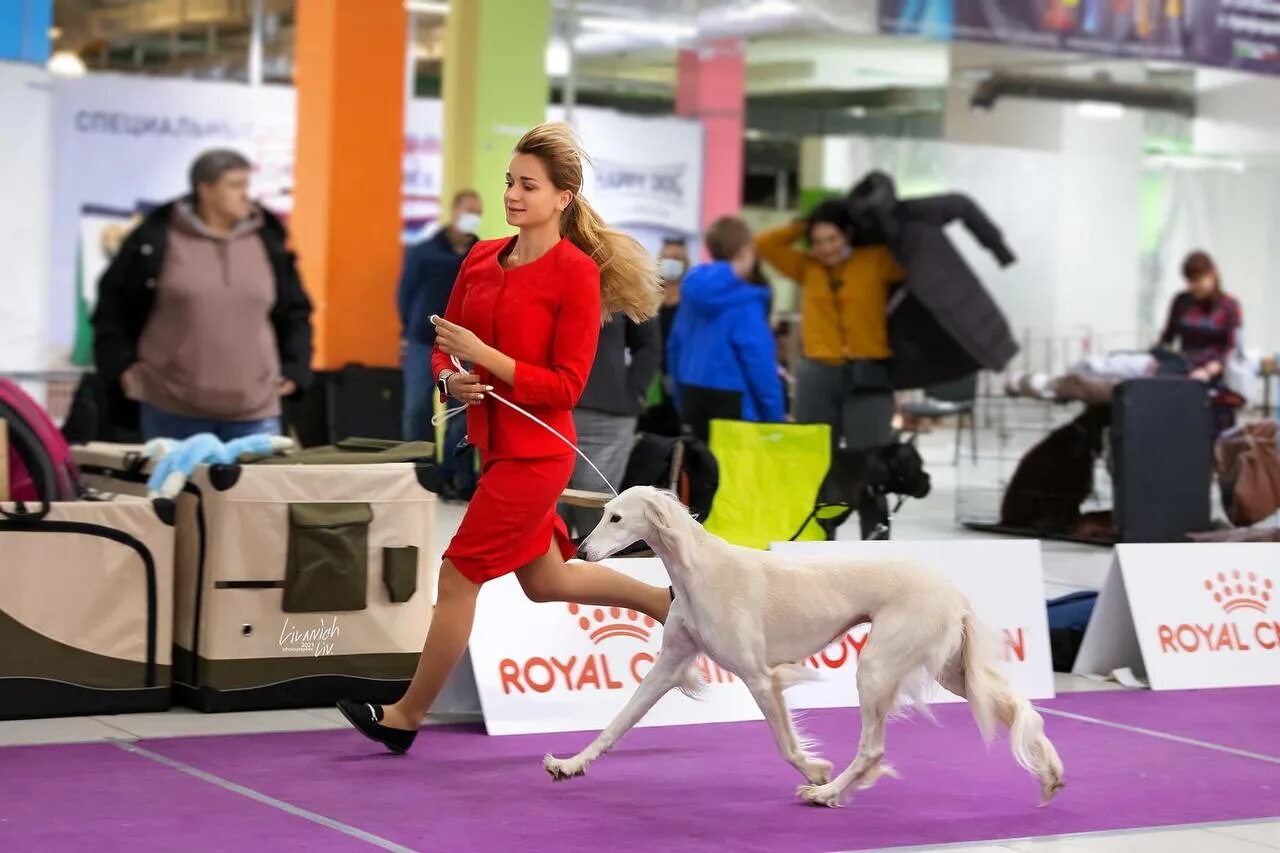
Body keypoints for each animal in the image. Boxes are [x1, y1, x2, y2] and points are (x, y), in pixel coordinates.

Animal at [545, 484, 1064, 804]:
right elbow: (617, 724)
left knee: (873, 750)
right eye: (603, 514)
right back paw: (1051, 774)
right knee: (1018, 708)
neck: (699, 571)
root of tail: (952, 591)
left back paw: (827, 794)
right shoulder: (669, 665)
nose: (580, 552)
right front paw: (569, 765)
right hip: (949, 670)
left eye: (617, 517)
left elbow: (786, 744)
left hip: (876, 668)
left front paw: (815, 772)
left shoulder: (760, 677)